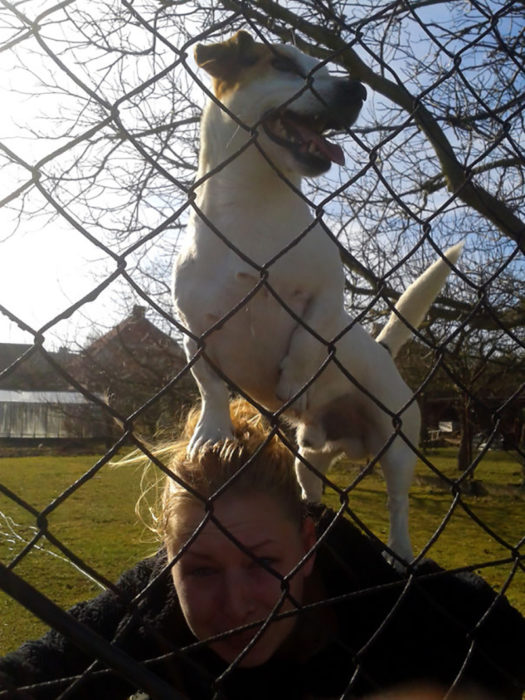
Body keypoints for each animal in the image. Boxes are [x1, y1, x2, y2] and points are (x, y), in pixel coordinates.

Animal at [174, 32, 460, 568]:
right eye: (282, 63)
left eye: (324, 67)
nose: (357, 89)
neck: (255, 207)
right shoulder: (192, 329)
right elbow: (210, 386)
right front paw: (213, 431)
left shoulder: (327, 293)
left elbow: (307, 343)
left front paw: (293, 380)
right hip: (309, 456)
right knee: (311, 484)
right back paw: (313, 509)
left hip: (398, 444)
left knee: (397, 504)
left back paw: (400, 551)